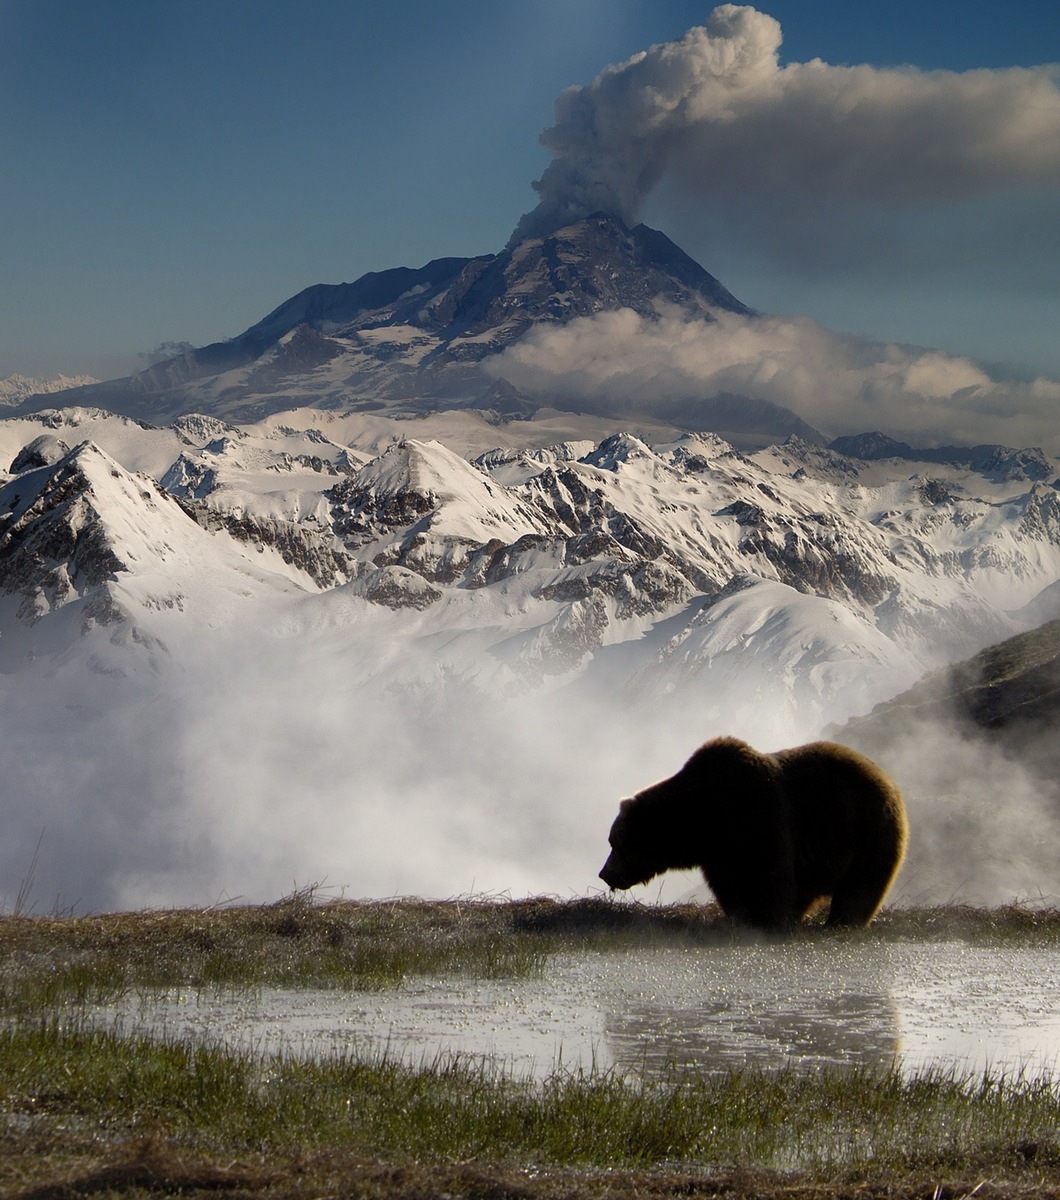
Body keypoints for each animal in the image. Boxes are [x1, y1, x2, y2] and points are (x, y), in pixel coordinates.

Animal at [600, 734, 907, 931]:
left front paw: (768, 919)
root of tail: (890, 780)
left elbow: (769, 876)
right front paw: (740, 916)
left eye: (615, 843)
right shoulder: (718, 853)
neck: (702, 819)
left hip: (865, 828)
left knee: (861, 885)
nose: (605, 873)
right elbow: (729, 885)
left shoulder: (756, 815)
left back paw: (842, 922)